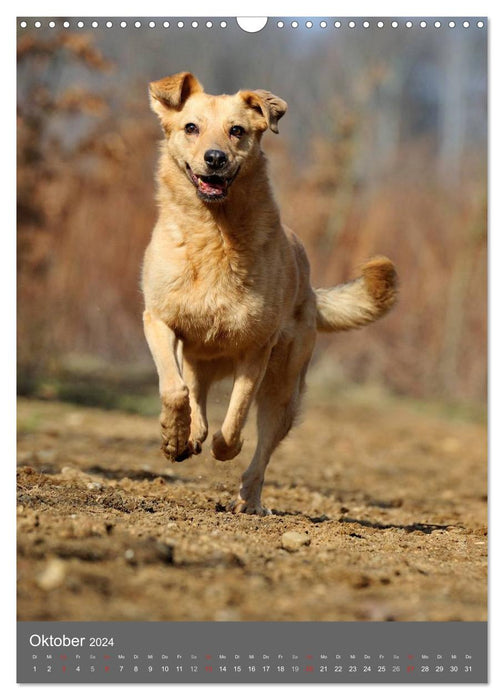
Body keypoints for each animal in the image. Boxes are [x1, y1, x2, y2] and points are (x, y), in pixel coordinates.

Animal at [142, 74, 398, 516]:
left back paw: (249, 498)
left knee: (261, 448)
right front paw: (174, 438)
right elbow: (174, 391)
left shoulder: (255, 349)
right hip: (199, 359)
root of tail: (311, 291)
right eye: (191, 127)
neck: (214, 232)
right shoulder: (159, 320)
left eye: (237, 131)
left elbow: (235, 421)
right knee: (195, 396)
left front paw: (225, 448)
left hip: (283, 390)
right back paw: (191, 436)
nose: (215, 158)